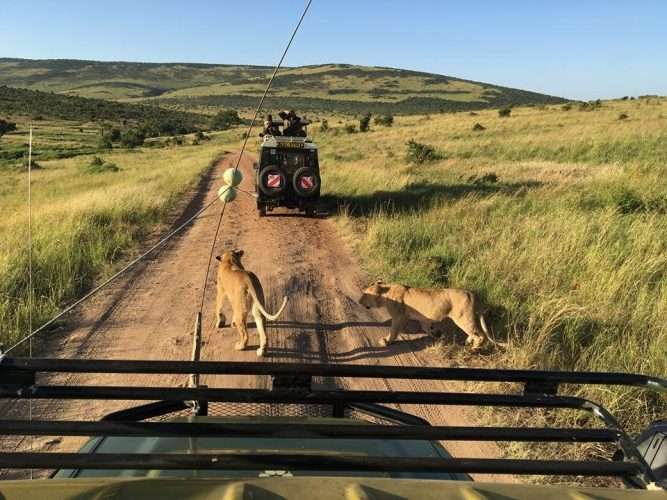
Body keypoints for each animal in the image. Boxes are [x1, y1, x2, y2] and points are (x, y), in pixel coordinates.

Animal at [359, 280, 498, 350]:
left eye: (365, 295)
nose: (359, 301)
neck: (386, 292)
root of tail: (472, 294)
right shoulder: (424, 319)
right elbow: (427, 328)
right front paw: (438, 335)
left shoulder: (399, 317)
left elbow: (393, 331)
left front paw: (386, 341)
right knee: (474, 334)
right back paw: (468, 342)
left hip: (463, 318)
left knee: (480, 336)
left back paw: (474, 348)